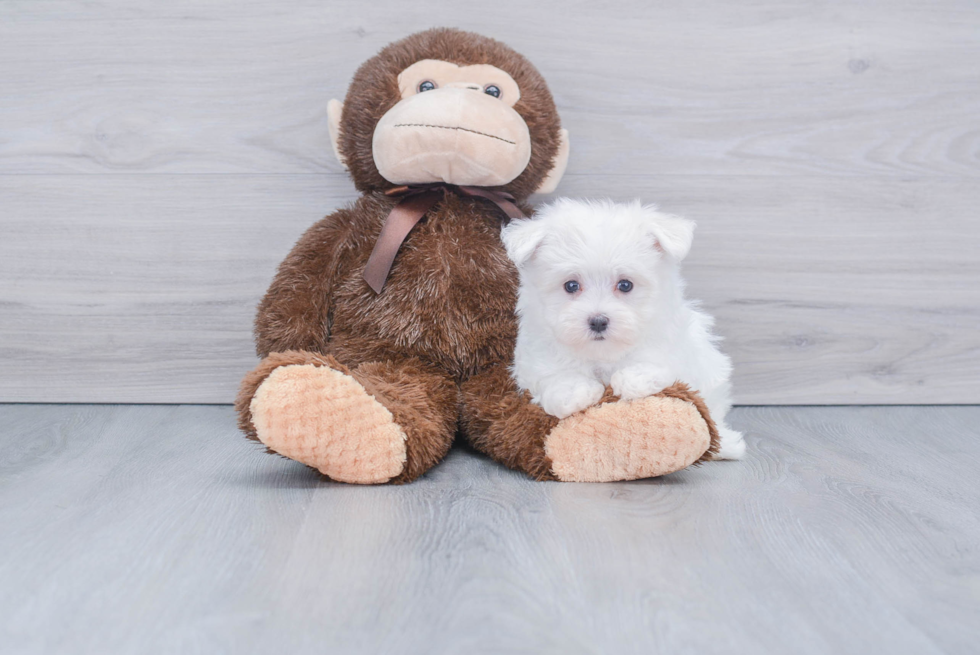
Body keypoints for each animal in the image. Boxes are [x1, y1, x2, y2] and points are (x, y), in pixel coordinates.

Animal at [502, 200, 748, 462]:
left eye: (625, 285)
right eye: (571, 285)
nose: (598, 321)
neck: (603, 354)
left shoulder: (674, 343)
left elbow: (657, 361)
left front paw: (633, 379)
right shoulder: (536, 356)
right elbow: (553, 374)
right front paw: (573, 392)